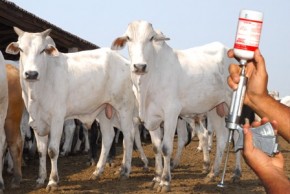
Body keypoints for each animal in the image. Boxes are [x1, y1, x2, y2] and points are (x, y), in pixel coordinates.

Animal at [5, 26, 137, 191]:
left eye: (42, 50)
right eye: (21, 49)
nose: (31, 74)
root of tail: (124, 61)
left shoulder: (57, 119)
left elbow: (52, 150)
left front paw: (52, 181)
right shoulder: (36, 121)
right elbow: (41, 152)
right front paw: (40, 179)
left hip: (124, 108)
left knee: (129, 135)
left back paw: (125, 170)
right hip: (104, 111)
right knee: (108, 137)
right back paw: (97, 171)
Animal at [110, 20, 238, 191]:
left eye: (151, 38)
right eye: (128, 38)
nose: (139, 66)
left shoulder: (171, 113)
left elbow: (166, 148)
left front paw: (165, 181)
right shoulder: (151, 118)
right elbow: (156, 147)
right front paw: (156, 178)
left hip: (233, 104)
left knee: (238, 135)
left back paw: (236, 173)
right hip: (215, 108)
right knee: (222, 138)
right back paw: (212, 173)